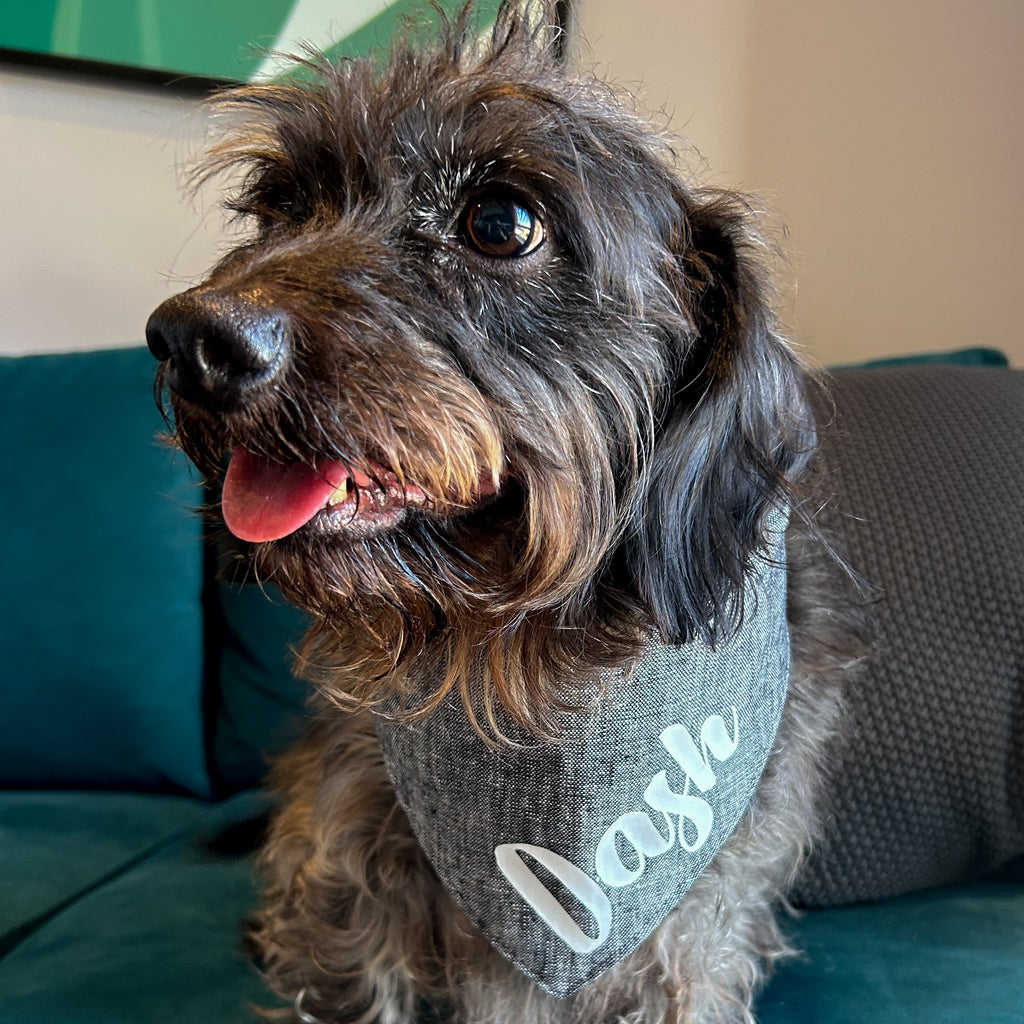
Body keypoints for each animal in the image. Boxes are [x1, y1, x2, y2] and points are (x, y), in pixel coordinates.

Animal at [144, 4, 864, 1019]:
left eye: (501, 222)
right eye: (281, 207)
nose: (191, 340)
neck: (518, 670)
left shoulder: (691, 944)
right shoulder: (349, 892)